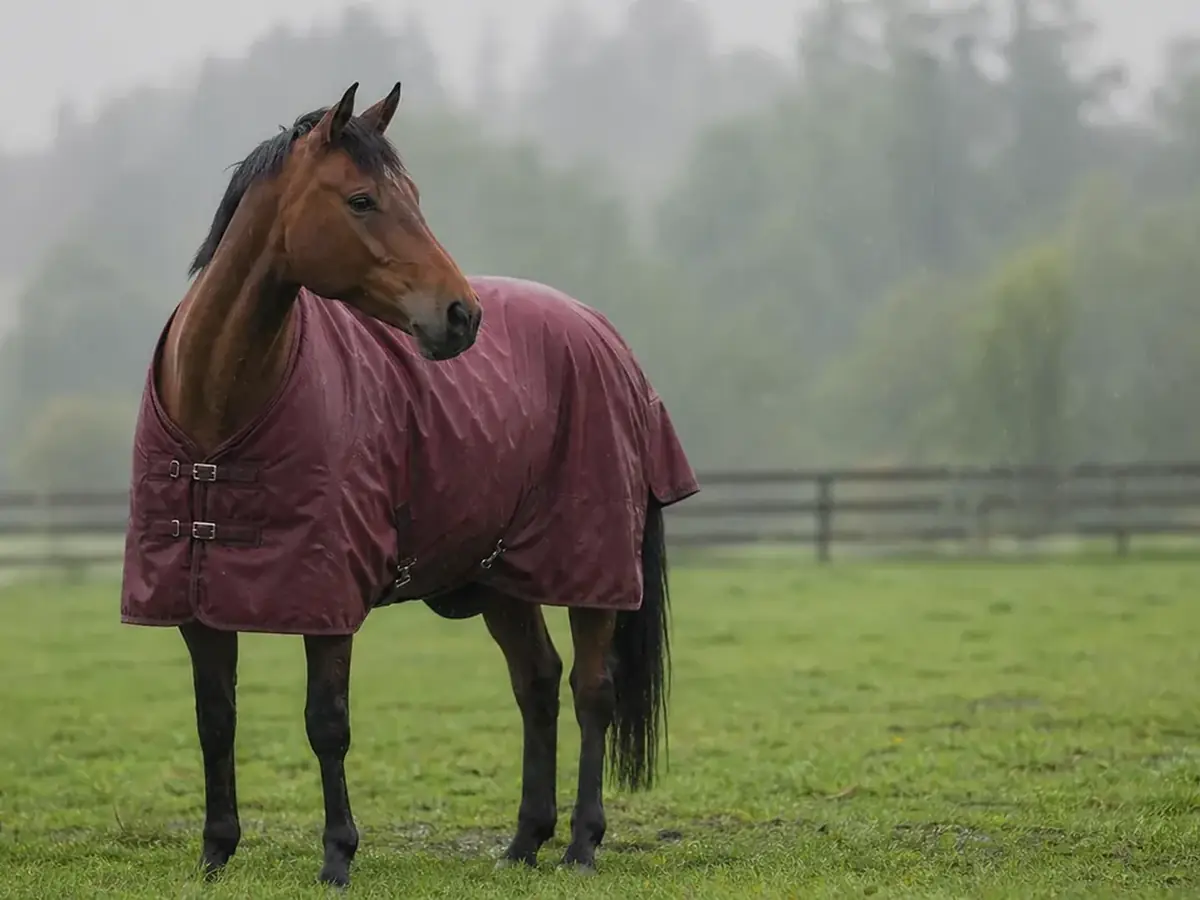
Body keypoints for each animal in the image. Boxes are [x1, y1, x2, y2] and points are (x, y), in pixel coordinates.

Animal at [119, 82, 699, 888]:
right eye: (362, 200)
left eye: (413, 196)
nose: (461, 315)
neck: (218, 413)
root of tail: (601, 331)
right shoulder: (195, 603)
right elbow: (216, 719)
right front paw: (215, 853)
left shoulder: (327, 599)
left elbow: (327, 723)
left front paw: (337, 856)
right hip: (502, 578)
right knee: (538, 682)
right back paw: (524, 842)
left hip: (592, 568)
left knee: (591, 691)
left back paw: (581, 844)